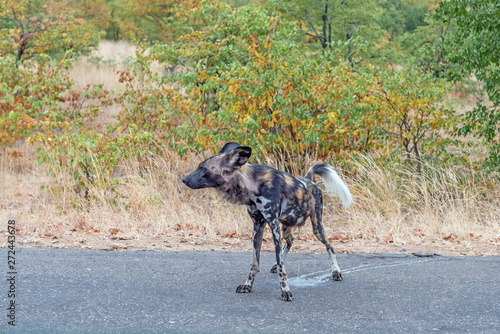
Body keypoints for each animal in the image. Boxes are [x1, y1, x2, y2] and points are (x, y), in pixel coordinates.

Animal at [182, 142, 354, 302]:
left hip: (316, 227)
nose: (184, 179)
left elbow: (281, 267)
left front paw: (285, 291)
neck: (252, 186)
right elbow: (255, 263)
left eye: (204, 169)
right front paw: (248, 285)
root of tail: (308, 180)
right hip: (286, 225)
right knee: (290, 241)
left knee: (329, 246)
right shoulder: (258, 225)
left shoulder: (272, 224)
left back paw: (336, 272)